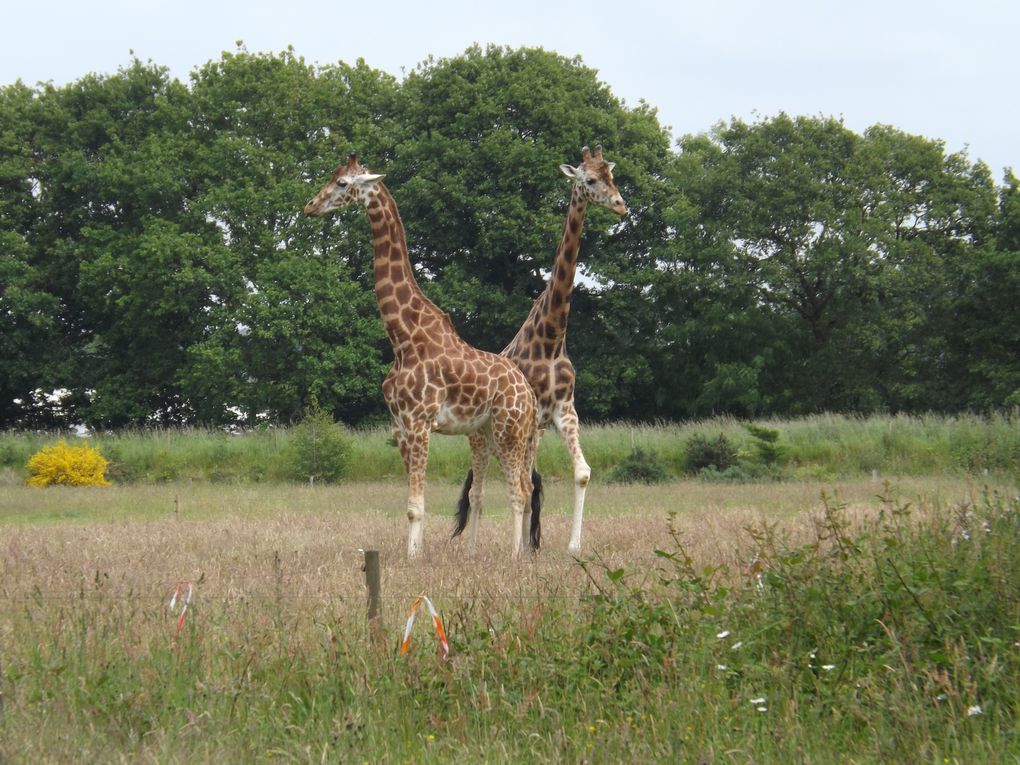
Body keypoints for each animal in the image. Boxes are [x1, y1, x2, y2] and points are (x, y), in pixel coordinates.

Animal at [301, 154, 542, 563]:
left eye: (342, 183)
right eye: (331, 177)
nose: (310, 206)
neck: (402, 337)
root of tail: (527, 392)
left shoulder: (419, 422)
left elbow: (417, 504)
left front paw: (414, 559)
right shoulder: (399, 425)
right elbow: (412, 504)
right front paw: (413, 553)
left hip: (509, 429)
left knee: (520, 491)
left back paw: (515, 557)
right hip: (486, 432)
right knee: (497, 491)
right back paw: (489, 553)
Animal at [456, 144, 628, 550]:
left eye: (612, 176)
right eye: (589, 180)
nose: (621, 206)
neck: (551, 340)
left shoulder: (564, 411)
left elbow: (579, 474)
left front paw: (569, 546)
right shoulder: (534, 422)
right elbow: (523, 485)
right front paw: (521, 547)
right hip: (482, 437)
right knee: (478, 491)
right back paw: (472, 548)